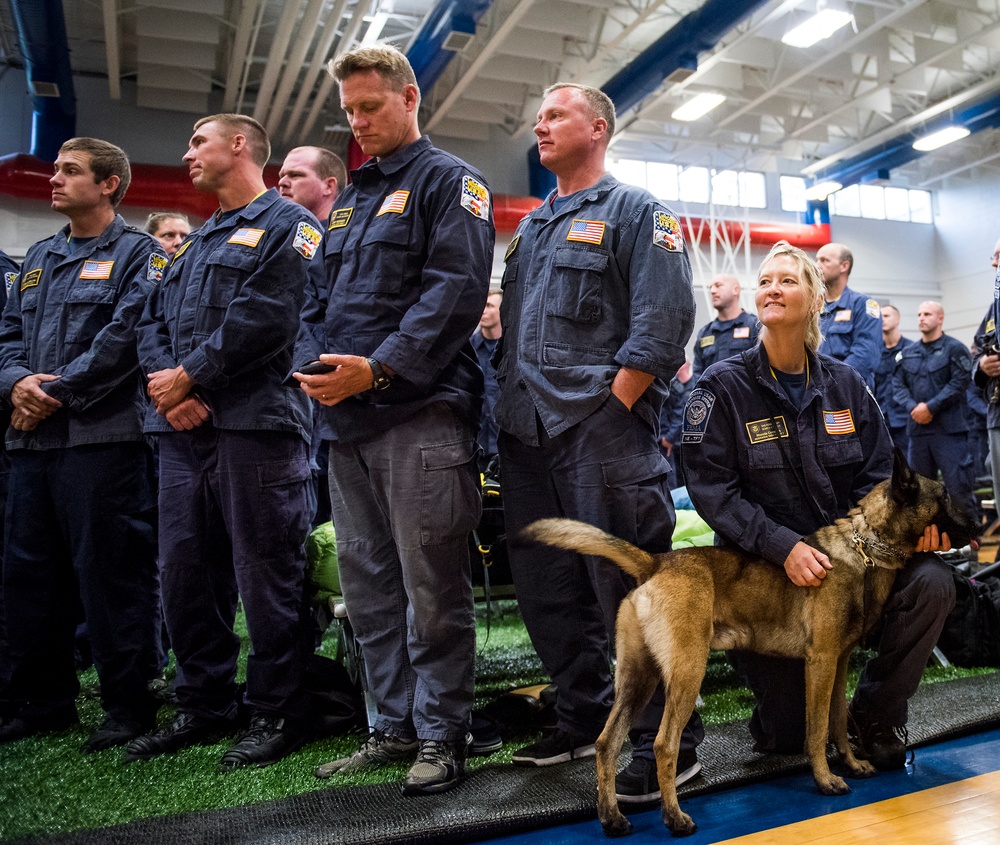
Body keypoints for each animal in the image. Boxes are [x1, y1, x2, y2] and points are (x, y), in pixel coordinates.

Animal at [524, 452, 976, 836]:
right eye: (945, 496)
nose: (980, 524)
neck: (863, 547)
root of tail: (657, 562)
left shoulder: (840, 663)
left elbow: (838, 722)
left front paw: (851, 763)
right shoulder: (820, 662)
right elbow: (816, 731)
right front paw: (826, 779)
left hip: (639, 681)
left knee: (606, 743)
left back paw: (612, 818)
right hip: (685, 674)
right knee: (663, 744)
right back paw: (674, 817)